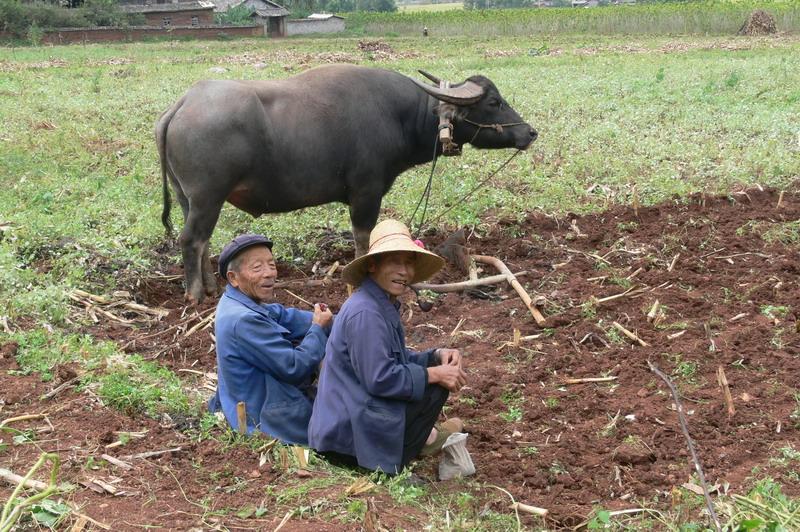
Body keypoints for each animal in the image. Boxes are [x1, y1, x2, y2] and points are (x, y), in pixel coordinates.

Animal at [156, 63, 536, 304]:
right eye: (494, 102)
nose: (530, 132)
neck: (399, 116)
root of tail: (181, 105)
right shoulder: (366, 193)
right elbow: (364, 240)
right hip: (208, 196)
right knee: (191, 239)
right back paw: (195, 295)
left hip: (189, 198)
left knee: (202, 241)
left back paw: (210, 287)